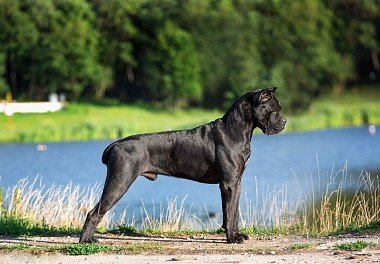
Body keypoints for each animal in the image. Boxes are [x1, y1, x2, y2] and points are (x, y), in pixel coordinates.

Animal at [81, 88, 286, 243]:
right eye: (274, 110)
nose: (284, 121)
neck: (236, 129)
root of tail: (116, 144)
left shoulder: (236, 182)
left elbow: (233, 212)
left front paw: (236, 235)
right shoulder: (228, 184)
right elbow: (229, 213)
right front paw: (231, 239)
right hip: (120, 182)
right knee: (94, 212)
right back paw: (87, 240)